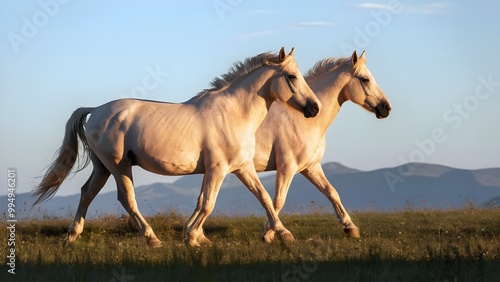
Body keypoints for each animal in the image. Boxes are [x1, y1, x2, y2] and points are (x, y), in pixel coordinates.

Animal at [34, 48, 320, 247]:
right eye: (292, 76)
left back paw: (71, 237)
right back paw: (151, 239)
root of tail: (96, 110)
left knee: (86, 193)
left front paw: (282, 233)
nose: (314, 108)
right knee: (126, 198)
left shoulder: (241, 168)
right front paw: (192, 237)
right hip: (118, 166)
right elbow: (208, 203)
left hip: (102, 167)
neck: (233, 114)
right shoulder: (218, 169)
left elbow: (263, 198)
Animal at [254, 50, 390, 240]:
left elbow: (331, 192)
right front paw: (269, 233)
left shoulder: (310, 167)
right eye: (365, 79)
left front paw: (350, 227)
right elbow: (278, 201)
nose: (386, 108)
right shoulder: (287, 167)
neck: (304, 120)